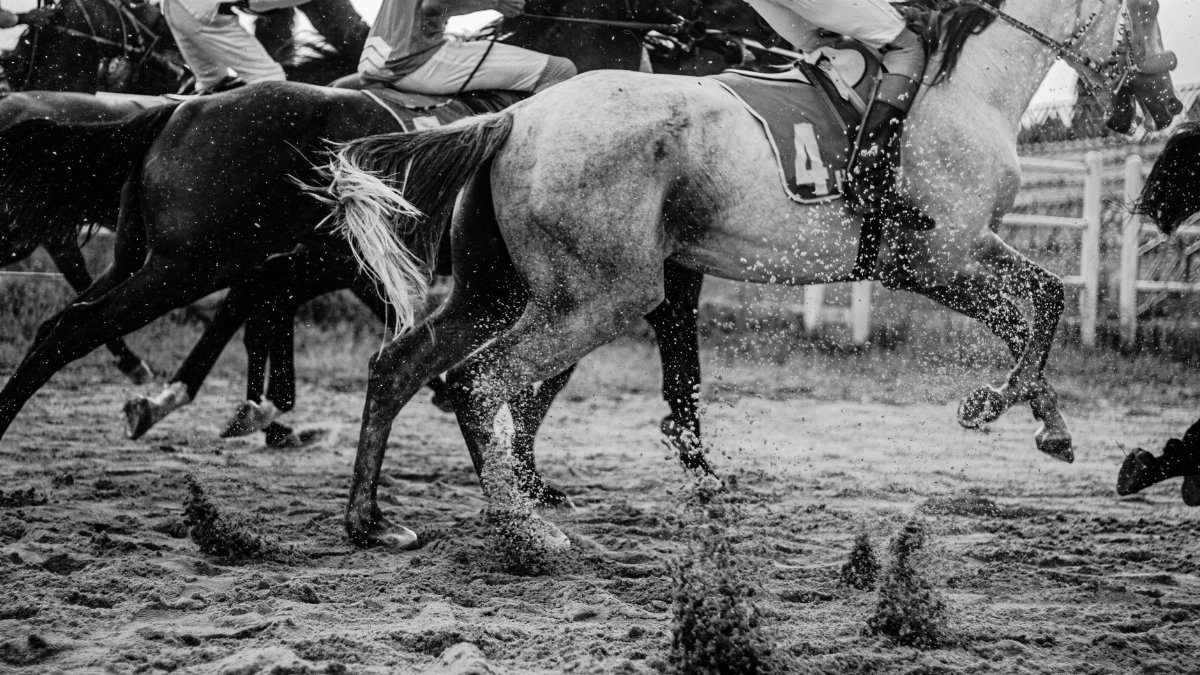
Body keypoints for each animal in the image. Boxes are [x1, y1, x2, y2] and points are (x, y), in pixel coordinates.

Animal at [0, 0, 769, 546]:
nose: (751, 48)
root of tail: (178, 109)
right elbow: (658, 370)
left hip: (159, 256)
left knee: (69, 319)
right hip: (191, 261)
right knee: (74, 327)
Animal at [324, 0, 1183, 551]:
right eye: (1143, 12)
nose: (1165, 103)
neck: (964, 86)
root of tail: (515, 116)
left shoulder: (968, 247)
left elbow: (1044, 298)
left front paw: (1043, 419)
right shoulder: (928, 261)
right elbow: (1033, 307)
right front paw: (997, 401)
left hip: (494, 291)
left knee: (400, 364)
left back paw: (372, 519)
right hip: (599, 296)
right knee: (479, 380)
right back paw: (526, 528)